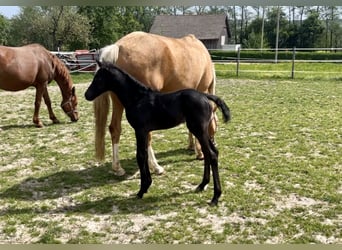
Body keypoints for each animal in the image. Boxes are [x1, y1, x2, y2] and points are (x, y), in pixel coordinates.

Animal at [84, 61, 231, 205]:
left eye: (99, 78)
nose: (87, 95)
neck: (137, 98)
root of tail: (205, 96)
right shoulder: (143, 131)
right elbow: (143, 155)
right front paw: (147, 185)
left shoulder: (140, 130)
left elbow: (140, 156)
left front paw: (142, 189)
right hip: (202, 131)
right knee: (210, 153)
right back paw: (202, 185)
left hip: (198, 130)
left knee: (211, 154)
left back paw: (215, 196)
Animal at [93, 31, 216, 176]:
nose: (213, 141)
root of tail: (119, 46)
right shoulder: (201, 91)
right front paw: (199, 152)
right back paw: (156, 167)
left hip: (118, 102)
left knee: (115, 128)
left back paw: (117, 168)